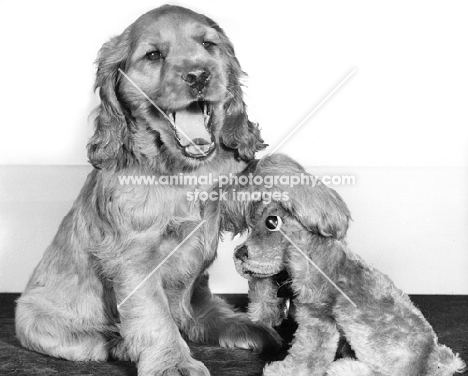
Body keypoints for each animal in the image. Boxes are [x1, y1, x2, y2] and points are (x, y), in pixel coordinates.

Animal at [14, 5, 280, 376]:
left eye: (207, 44)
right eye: (153, 55)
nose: (199, 75)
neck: (179, 171)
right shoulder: (133, 257)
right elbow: (153, 311)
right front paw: (173, 363)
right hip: (35, 319)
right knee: (99, 341)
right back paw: (121, 344)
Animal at [210, 153, 466, 376]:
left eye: (272, 222)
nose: (238, 254)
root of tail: (432, 359)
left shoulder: (318, 322)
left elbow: (307, 354)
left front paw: (284, 370)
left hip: (367, 331)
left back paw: (345, 368)